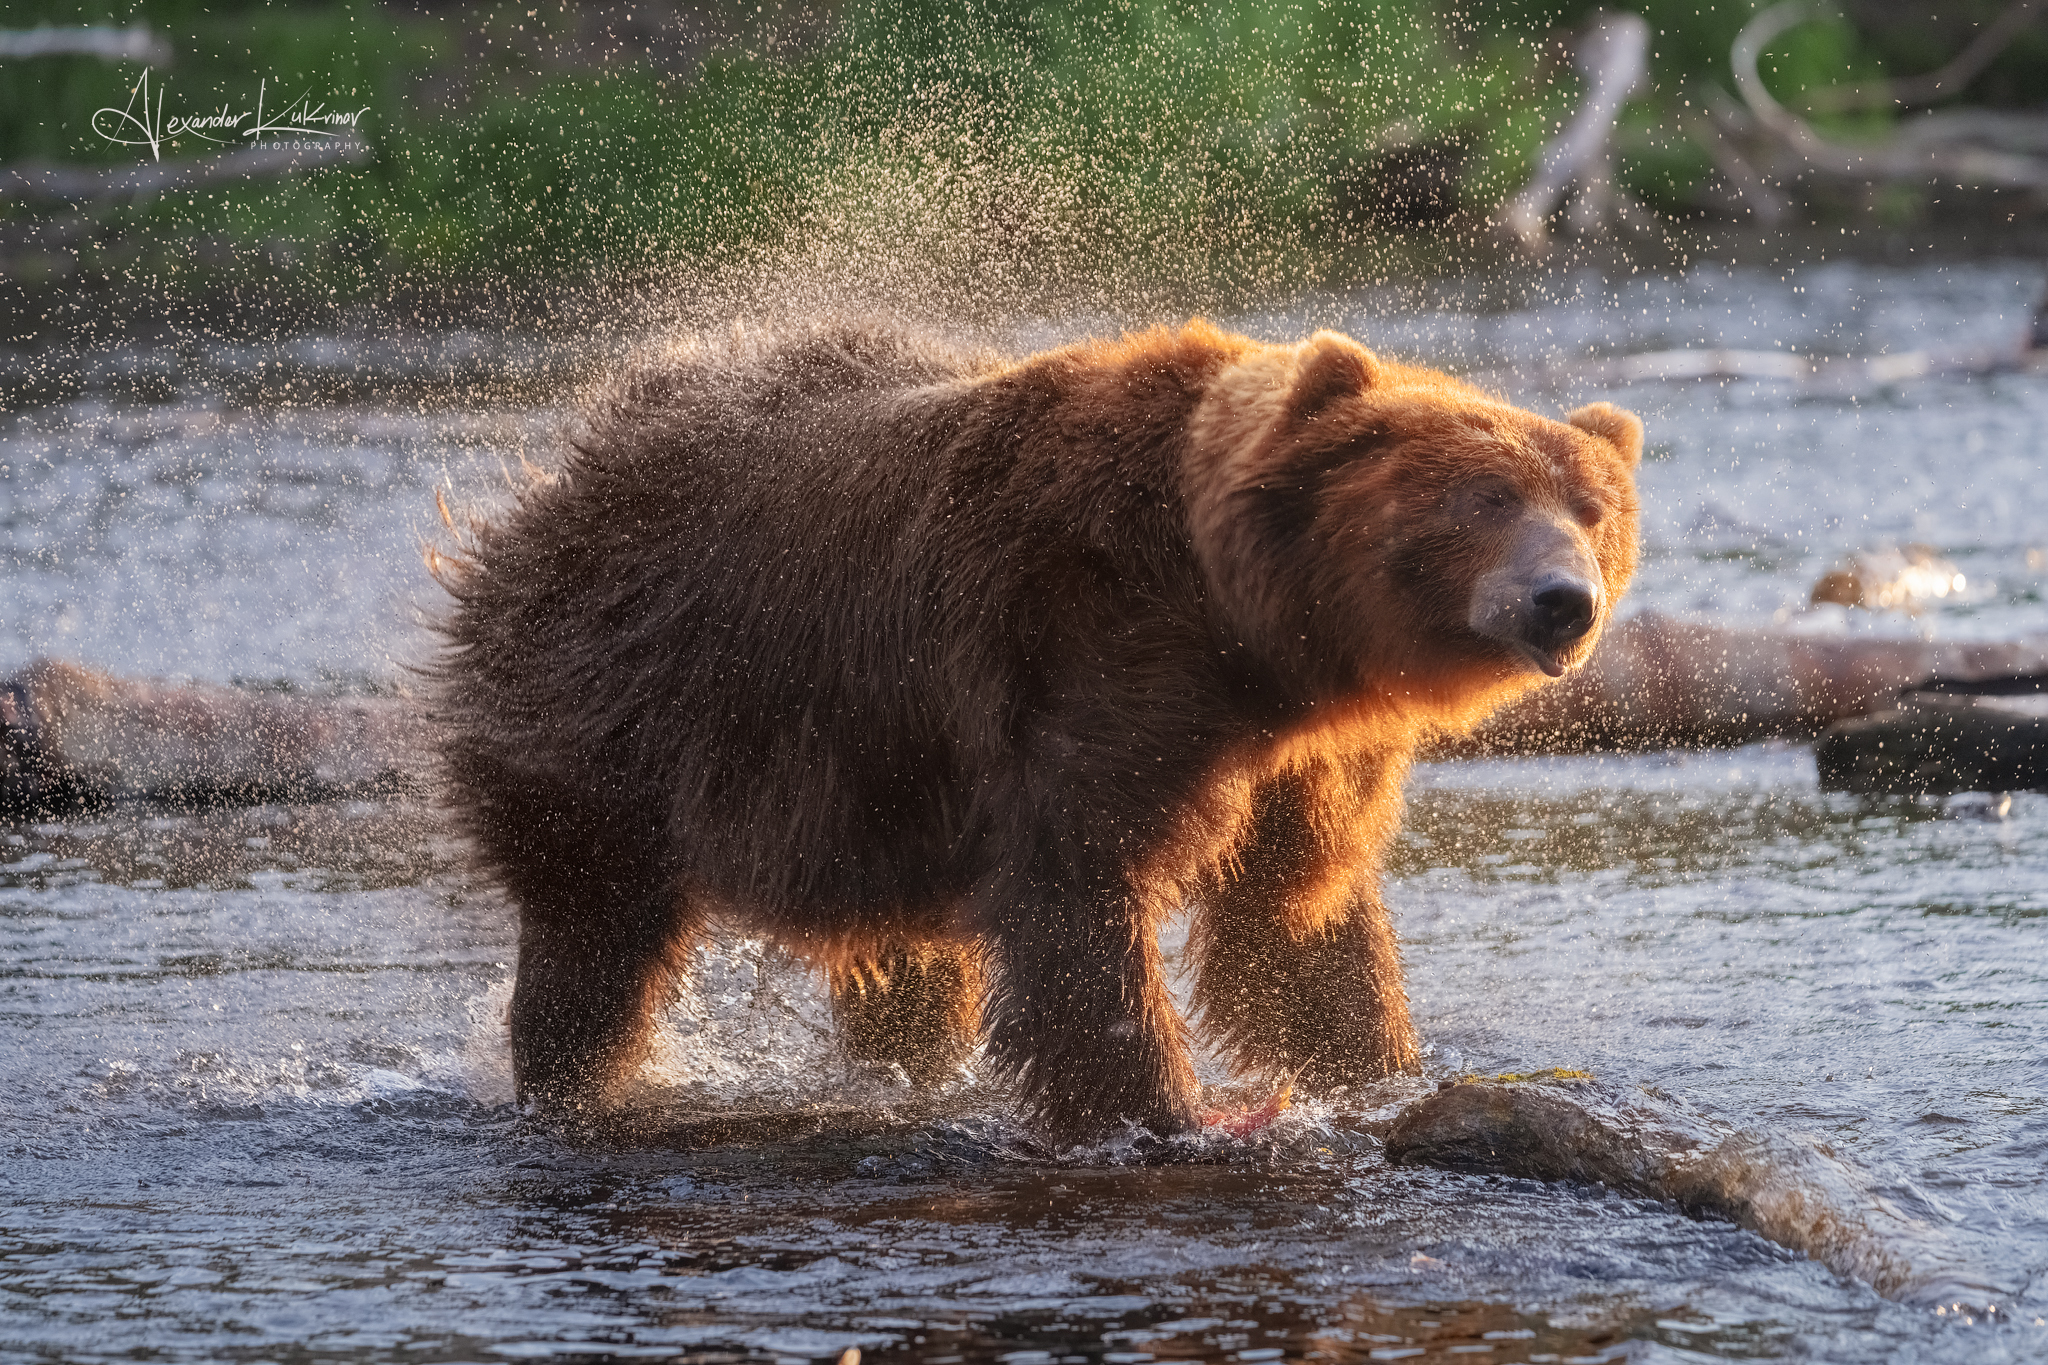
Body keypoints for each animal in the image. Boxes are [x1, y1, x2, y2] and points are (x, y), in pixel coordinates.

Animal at [432, 325, 1646, 1146]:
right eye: (1483, 496)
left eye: (1595, 512)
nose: (1563, 603)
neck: (1248, 634)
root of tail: (566, 465)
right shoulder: (1087, 649)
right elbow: (1080, 886)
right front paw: (1161, 1109)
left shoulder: (1312, 754)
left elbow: (1299, 906)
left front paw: (1377, 1066)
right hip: (625, 697)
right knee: (595, 921)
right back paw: (571, 1074)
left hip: (868, 786)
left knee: (904, 960)